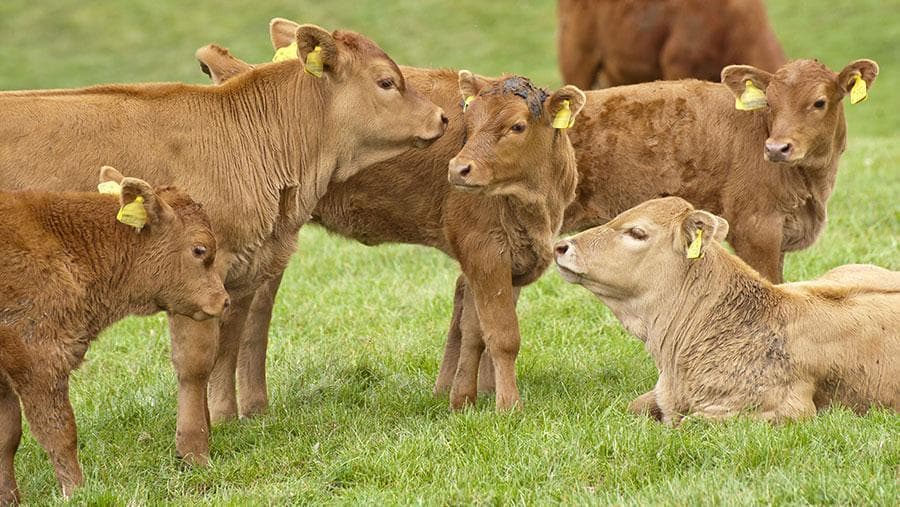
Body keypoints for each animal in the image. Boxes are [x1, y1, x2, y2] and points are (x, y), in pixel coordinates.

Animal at [0, 23, 447, 464]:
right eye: (386, 81)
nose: (441, 117)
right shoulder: (193, 277)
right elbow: (196, 362)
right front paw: (194, 448)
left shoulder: (241, 273)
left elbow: (228, 346)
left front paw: (220, 424)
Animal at [0, 167, 229, 503]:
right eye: (200, 249)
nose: (224, 300)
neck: (66, 242)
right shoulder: (39, 361)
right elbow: (58, 432)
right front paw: (76, 492)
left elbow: (6, 436)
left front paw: (9, 498)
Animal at [194, 19, 877, 411]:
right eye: (777, 105)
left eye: (821, 101)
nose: (780, 146)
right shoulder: (759, 233)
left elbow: (476, 322)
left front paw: (468, 401)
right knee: (252, 315)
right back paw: (248, 407)